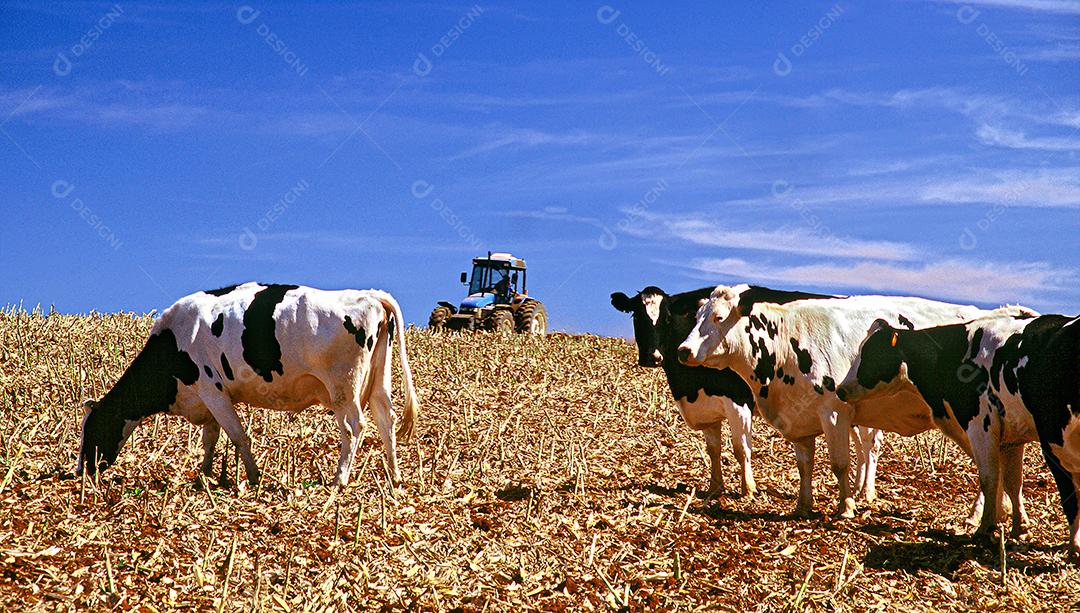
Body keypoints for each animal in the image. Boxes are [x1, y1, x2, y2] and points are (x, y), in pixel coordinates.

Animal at [76, 282, 419, 487]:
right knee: (386, 420)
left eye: (91, 430)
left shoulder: (213, 391)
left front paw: (252, 477)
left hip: (343, 387)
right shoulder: (207, 401)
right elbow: (211, 439)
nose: (81, 471)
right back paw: (394, 477)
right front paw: (204, 475)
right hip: (379, 380)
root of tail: (370, 294)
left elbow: (238, 436)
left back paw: (340, 479)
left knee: (355, 427)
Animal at [613, 284, 881, 500]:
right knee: (860, 444)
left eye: (667, 317)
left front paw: (748, 489)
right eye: (636, 316)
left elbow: (741, 448)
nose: (652, 357)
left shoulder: (738, 401)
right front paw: (715, 487)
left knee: (871, 443)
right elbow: (713, 450)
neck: (689, 386)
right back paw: (857, 488)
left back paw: (866, 492)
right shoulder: (708, 408)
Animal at [673, 284, 1028, 520]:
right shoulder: (799, 418)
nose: (683, 351)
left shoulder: (835, 412)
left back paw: (977, 515)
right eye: (697, 316)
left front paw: (845, 507)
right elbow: (805, 464)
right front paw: (803, 506)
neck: (787, 341)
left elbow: (839, 464)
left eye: (719, 317)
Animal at [842, 315, 1080, 556]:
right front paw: (1019, 527)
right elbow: (1013, 482)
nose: (840, 389)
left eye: (870, 353)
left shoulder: (980, 425)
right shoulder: (1012, 437)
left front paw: (985, 529)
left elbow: (989, 478)